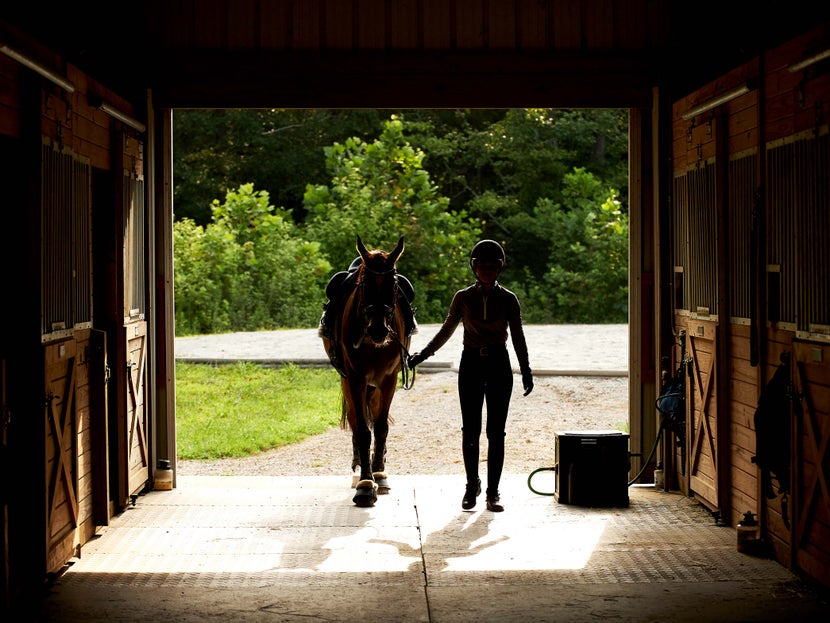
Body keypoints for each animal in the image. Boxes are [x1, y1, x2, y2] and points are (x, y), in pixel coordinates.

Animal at [326, 234, 414, 508]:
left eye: (393, 283)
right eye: (364, 284)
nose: (379, 329)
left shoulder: (388, 379)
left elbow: (381, 426)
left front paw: (379, 474)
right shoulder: (355, 379)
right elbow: (363, 430)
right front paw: (365, 484)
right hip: (350, 381)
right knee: (357, 421)